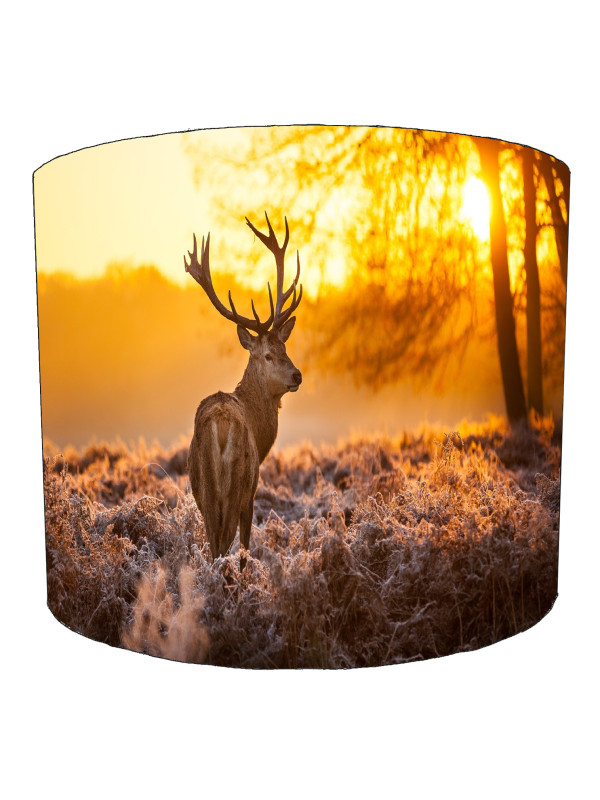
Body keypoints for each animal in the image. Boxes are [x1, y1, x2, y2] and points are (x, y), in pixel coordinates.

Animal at [184, 213, 303, 570]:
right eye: (268, 355)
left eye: (285, 347)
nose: (297, 374)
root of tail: (221, 426)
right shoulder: (252, 491)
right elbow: (247, 548)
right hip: (235, 485)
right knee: (226, 548)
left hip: (205, 488)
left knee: (214, 547)